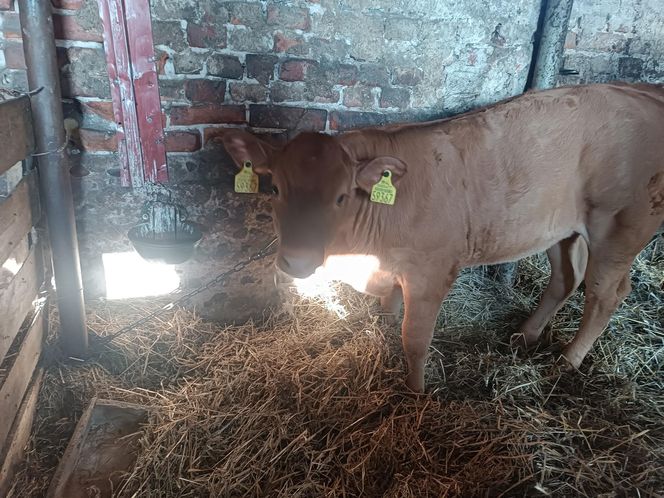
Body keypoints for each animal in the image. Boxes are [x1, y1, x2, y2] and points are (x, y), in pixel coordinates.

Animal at [222, 82, 664, 392]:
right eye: (274, 188)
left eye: (341, 196)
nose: (296, 261)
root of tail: (640, 90)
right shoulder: (391, 269)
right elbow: (388, 310)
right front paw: (382, 331)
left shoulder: (430, 273)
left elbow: (415, 339)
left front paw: (415, 392)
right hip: (560, 229)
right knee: (565, 279)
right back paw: (525, 334)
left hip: (621, 226)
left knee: (606, 296)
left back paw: (567, 361)